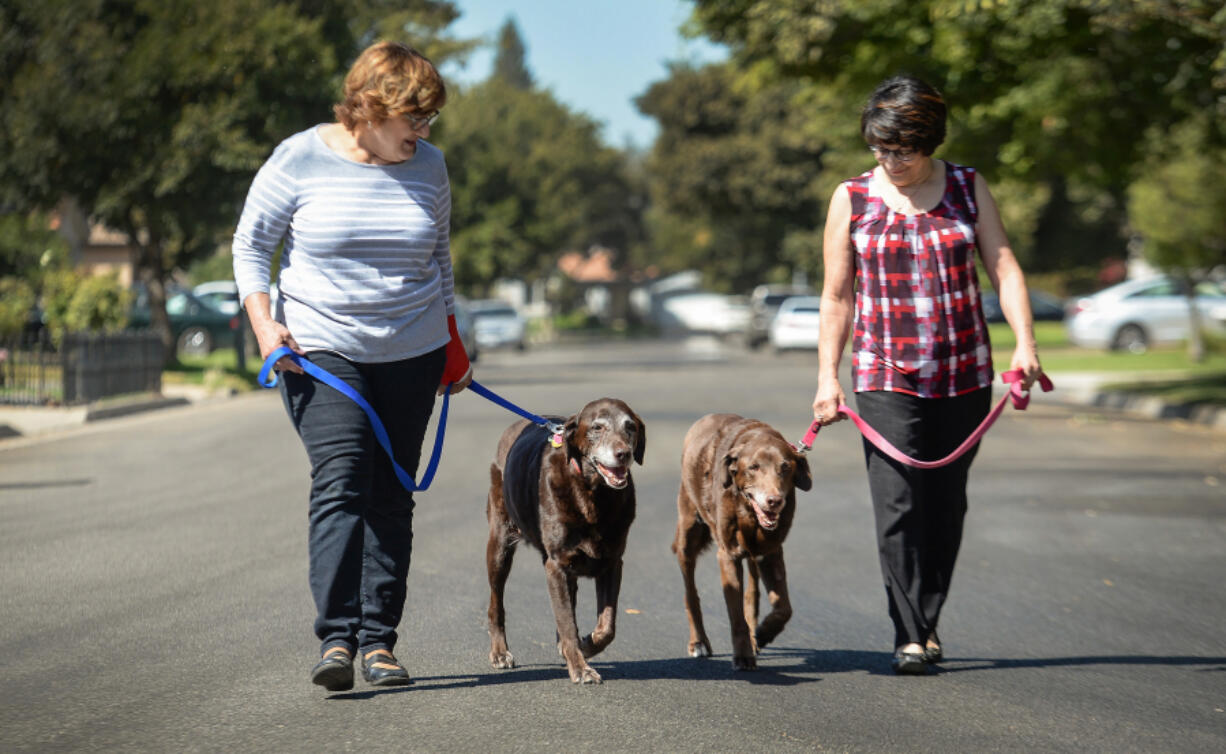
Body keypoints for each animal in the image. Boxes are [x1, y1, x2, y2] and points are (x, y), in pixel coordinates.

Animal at [483, 397, 647, 686]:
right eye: (597, 427)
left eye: (631, 427)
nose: (623, 454)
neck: (594, 493)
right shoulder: (557, 565)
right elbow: (567, 623)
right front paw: (581, 668)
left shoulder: (612, 562)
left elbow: (607, 626)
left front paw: (587, 645)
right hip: (500, 547)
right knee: (496, 604)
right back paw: (500, 652)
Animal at [676, 416, 809, 671]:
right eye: (754, 467)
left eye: (785, 467)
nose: (774, 501)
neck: (749, 514)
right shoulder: (728, 555)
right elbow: (736, 616)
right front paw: (743, 655)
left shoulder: (772, 552)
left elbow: (784, 608)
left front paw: (764, 633)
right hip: (688, 533)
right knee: (690, 593)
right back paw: (698, 642)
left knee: (753, 591)